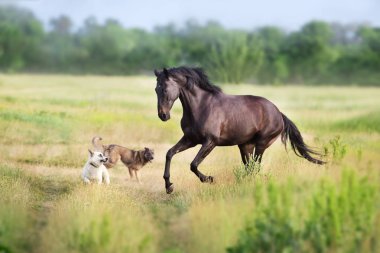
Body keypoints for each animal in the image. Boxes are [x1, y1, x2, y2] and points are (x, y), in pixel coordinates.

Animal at [154, 66, 324, 193]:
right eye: (156, 89)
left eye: (165, 89)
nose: (163, 115)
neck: (201, 106)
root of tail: (279, 113)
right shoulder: (190, 140)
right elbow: (169, 153)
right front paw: (169, 186)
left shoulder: (210, 142)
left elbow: (194, 164)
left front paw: (208, 179)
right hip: (245, 146)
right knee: (249, 168)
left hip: (261, 144)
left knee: (255, 166)